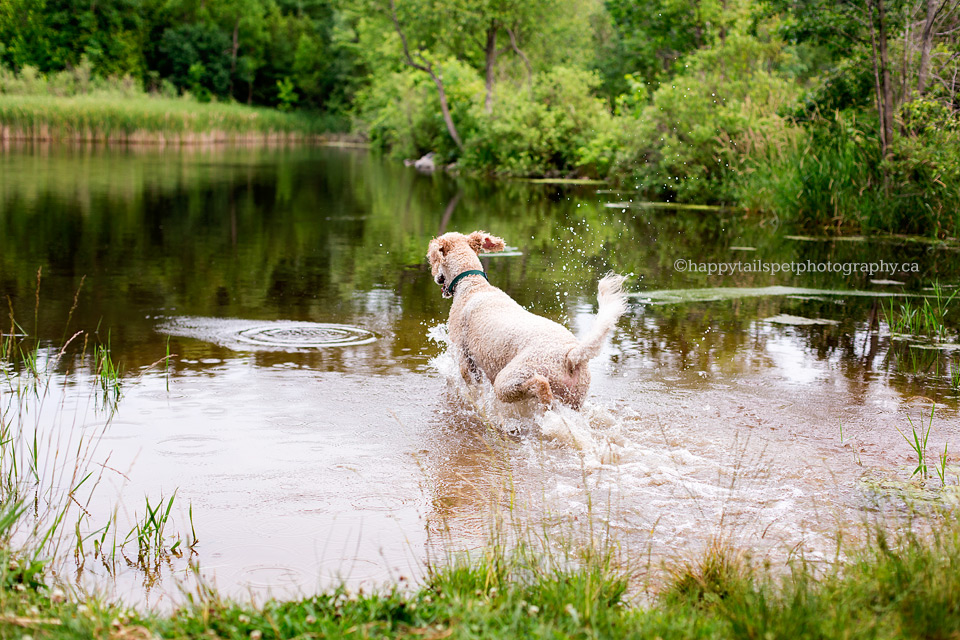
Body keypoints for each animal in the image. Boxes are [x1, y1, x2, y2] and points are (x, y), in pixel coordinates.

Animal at [428, 230, 632, 410]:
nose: (437, 279)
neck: (471, 284)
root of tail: (571, 355)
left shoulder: (463, 355)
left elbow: (471, 383)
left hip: (511, 378)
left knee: (539, 386)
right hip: (575, 398)